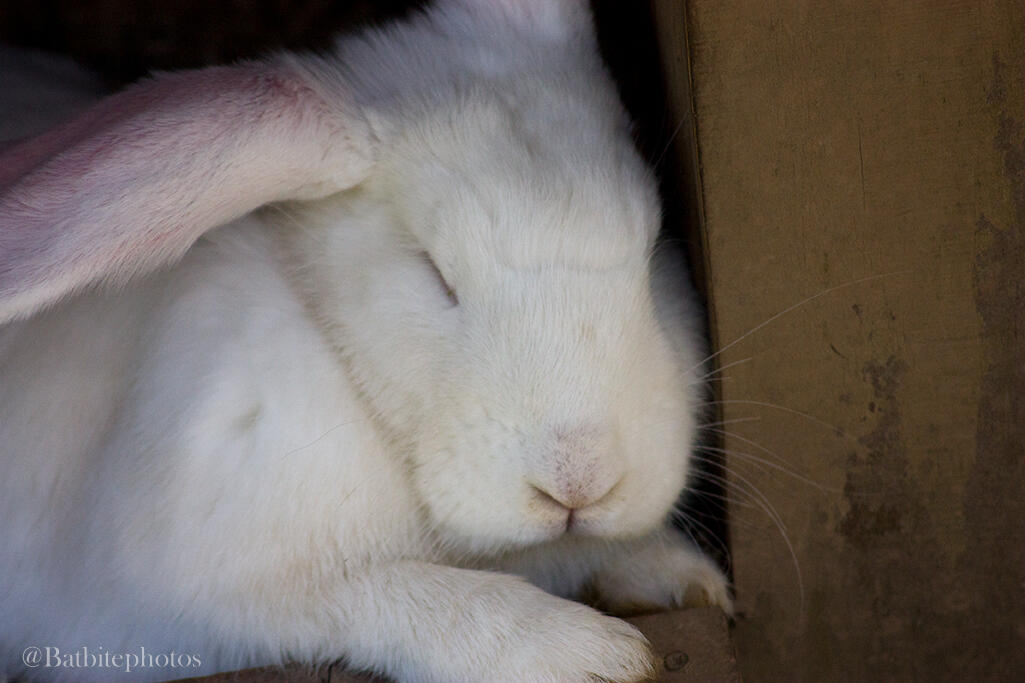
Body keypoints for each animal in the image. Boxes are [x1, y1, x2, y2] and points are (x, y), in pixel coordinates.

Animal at [0, 0, 732, 681]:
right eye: (434, 271)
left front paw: (684, 580)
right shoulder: (182, 606)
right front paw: (586, 654)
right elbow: (402, 596)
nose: (582, 482)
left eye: (653, 247)